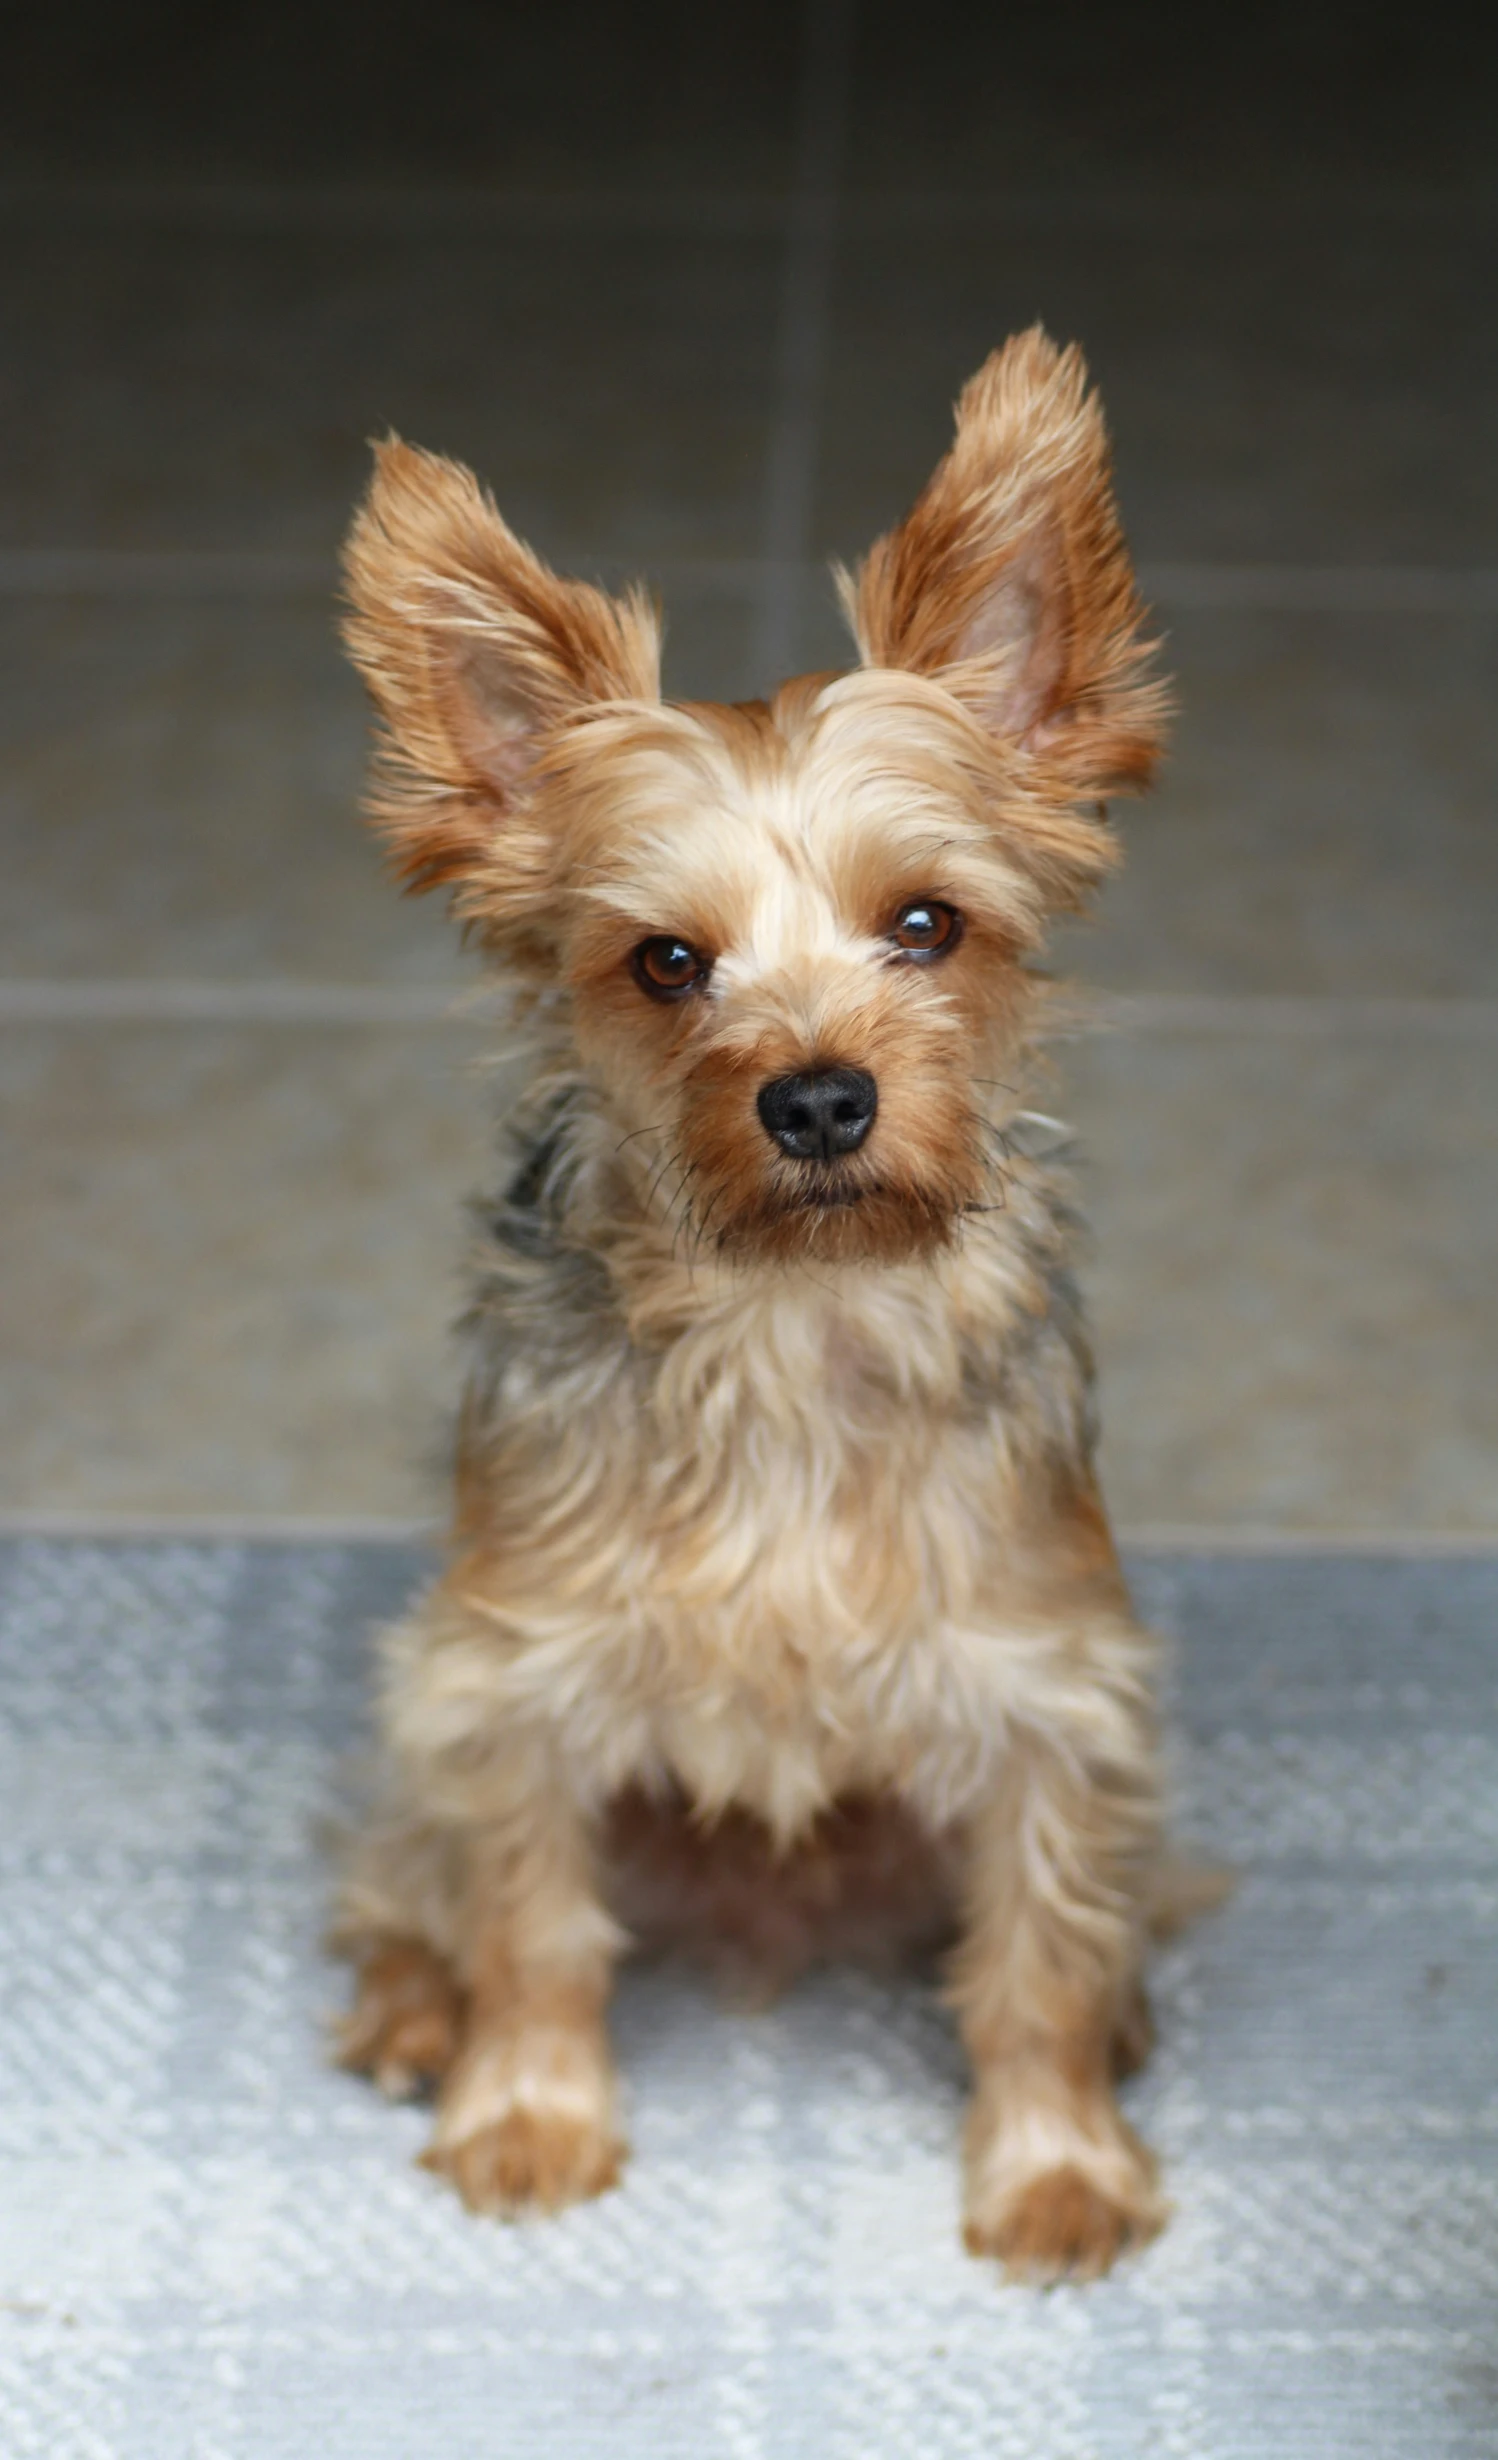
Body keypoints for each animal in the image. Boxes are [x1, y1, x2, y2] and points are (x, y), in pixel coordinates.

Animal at [329, 332, 1180, 2282]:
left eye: (927, 924)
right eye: (664, 962)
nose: (814, 1100)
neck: (797, 1318)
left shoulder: (1051, 1694)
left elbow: (1032, 1960)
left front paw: (1053, 2170)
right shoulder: (512, 1678)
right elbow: (532, 1921)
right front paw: (527, 2115)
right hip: (425, 1710)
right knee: (410, 1872)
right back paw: (415, 2009)